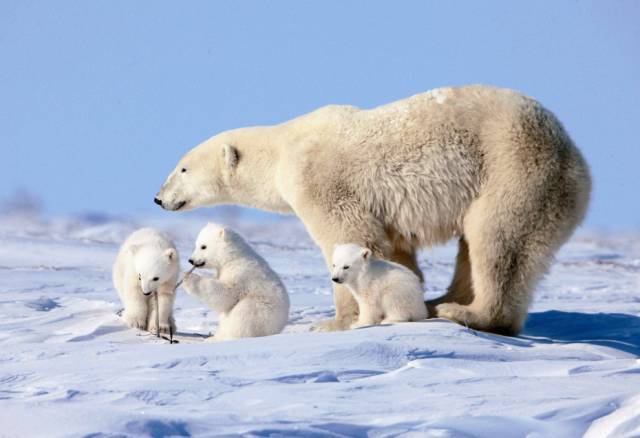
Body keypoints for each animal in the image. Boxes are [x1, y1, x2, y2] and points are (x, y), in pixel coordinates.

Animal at [155, 85, 591, 335]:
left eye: (182, 167)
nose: (158, 198)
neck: (282, 150)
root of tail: (573, 153)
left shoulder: (319, 180)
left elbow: (348, 236)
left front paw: (334, 322)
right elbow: (395, 252)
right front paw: (406, 295)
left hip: (516, 169)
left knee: (497, 238)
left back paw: (464, 311)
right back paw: (439, 302)